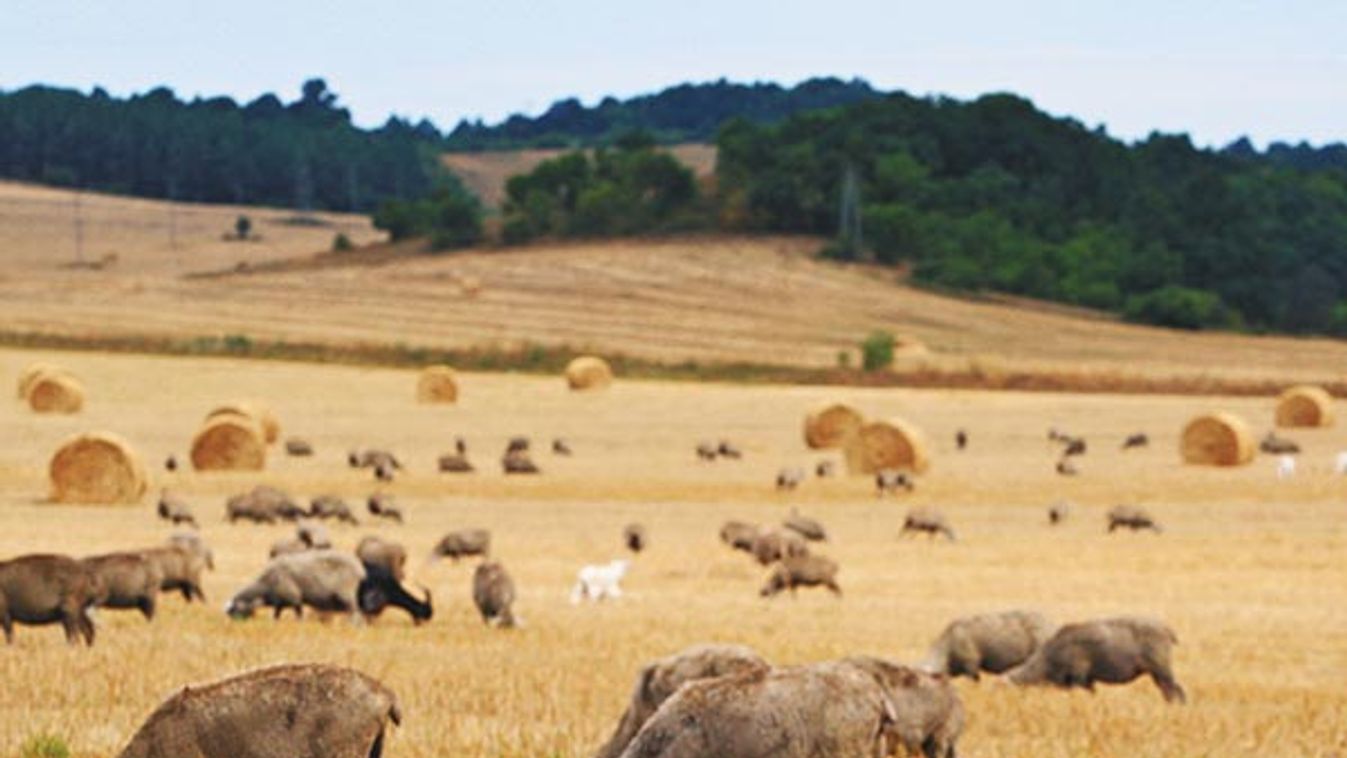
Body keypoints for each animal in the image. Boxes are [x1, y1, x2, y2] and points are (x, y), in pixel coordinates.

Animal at [1007, 616, 1185, 705]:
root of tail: (1167, 631)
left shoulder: (1080, 678)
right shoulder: (1087, 681)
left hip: (1162, 670)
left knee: (1176, 690)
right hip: (1157, 673)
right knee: (1169, 691)